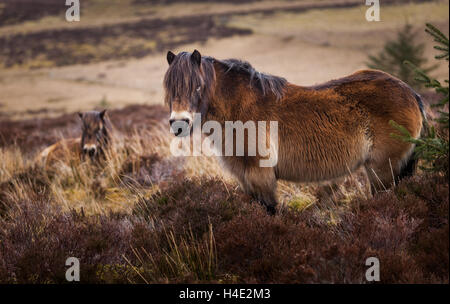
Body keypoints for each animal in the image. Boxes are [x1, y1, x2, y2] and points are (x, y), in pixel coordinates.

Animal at [164, 50, 426, 214]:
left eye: (197, 86)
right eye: (169, 88)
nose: (179, 124)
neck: (239, 107)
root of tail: (410, 92)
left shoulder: (261, 177)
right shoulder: (246, 180)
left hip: (382, 171)